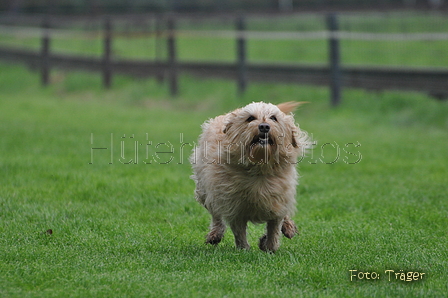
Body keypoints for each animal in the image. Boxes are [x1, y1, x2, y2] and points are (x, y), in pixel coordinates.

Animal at [189, 102, 308, 251]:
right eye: (250, 118)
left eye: (273, 118)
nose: (264, 126)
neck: (258, 168)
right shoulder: (233, 205)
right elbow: (239, 231)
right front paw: (244, 249)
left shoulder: (278, 200)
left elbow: (274, 227)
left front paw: (269, 246)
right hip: (205, 191)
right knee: (215, 213)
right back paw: (215, 233)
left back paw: (288, 227)